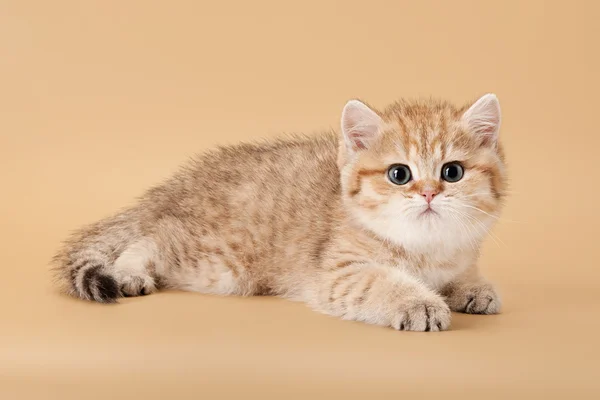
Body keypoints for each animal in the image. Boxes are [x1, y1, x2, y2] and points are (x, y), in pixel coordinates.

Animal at [54, 94, 508, 332]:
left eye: (452, 172)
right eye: (400, 174)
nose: (429, 193)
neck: (427, 249)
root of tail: (176, 185)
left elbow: (461, 274)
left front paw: (472, 288)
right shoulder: (339, 273)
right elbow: (381, 283)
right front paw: (419, 303)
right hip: (216, 262)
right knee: (148, 238)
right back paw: (130, 272)